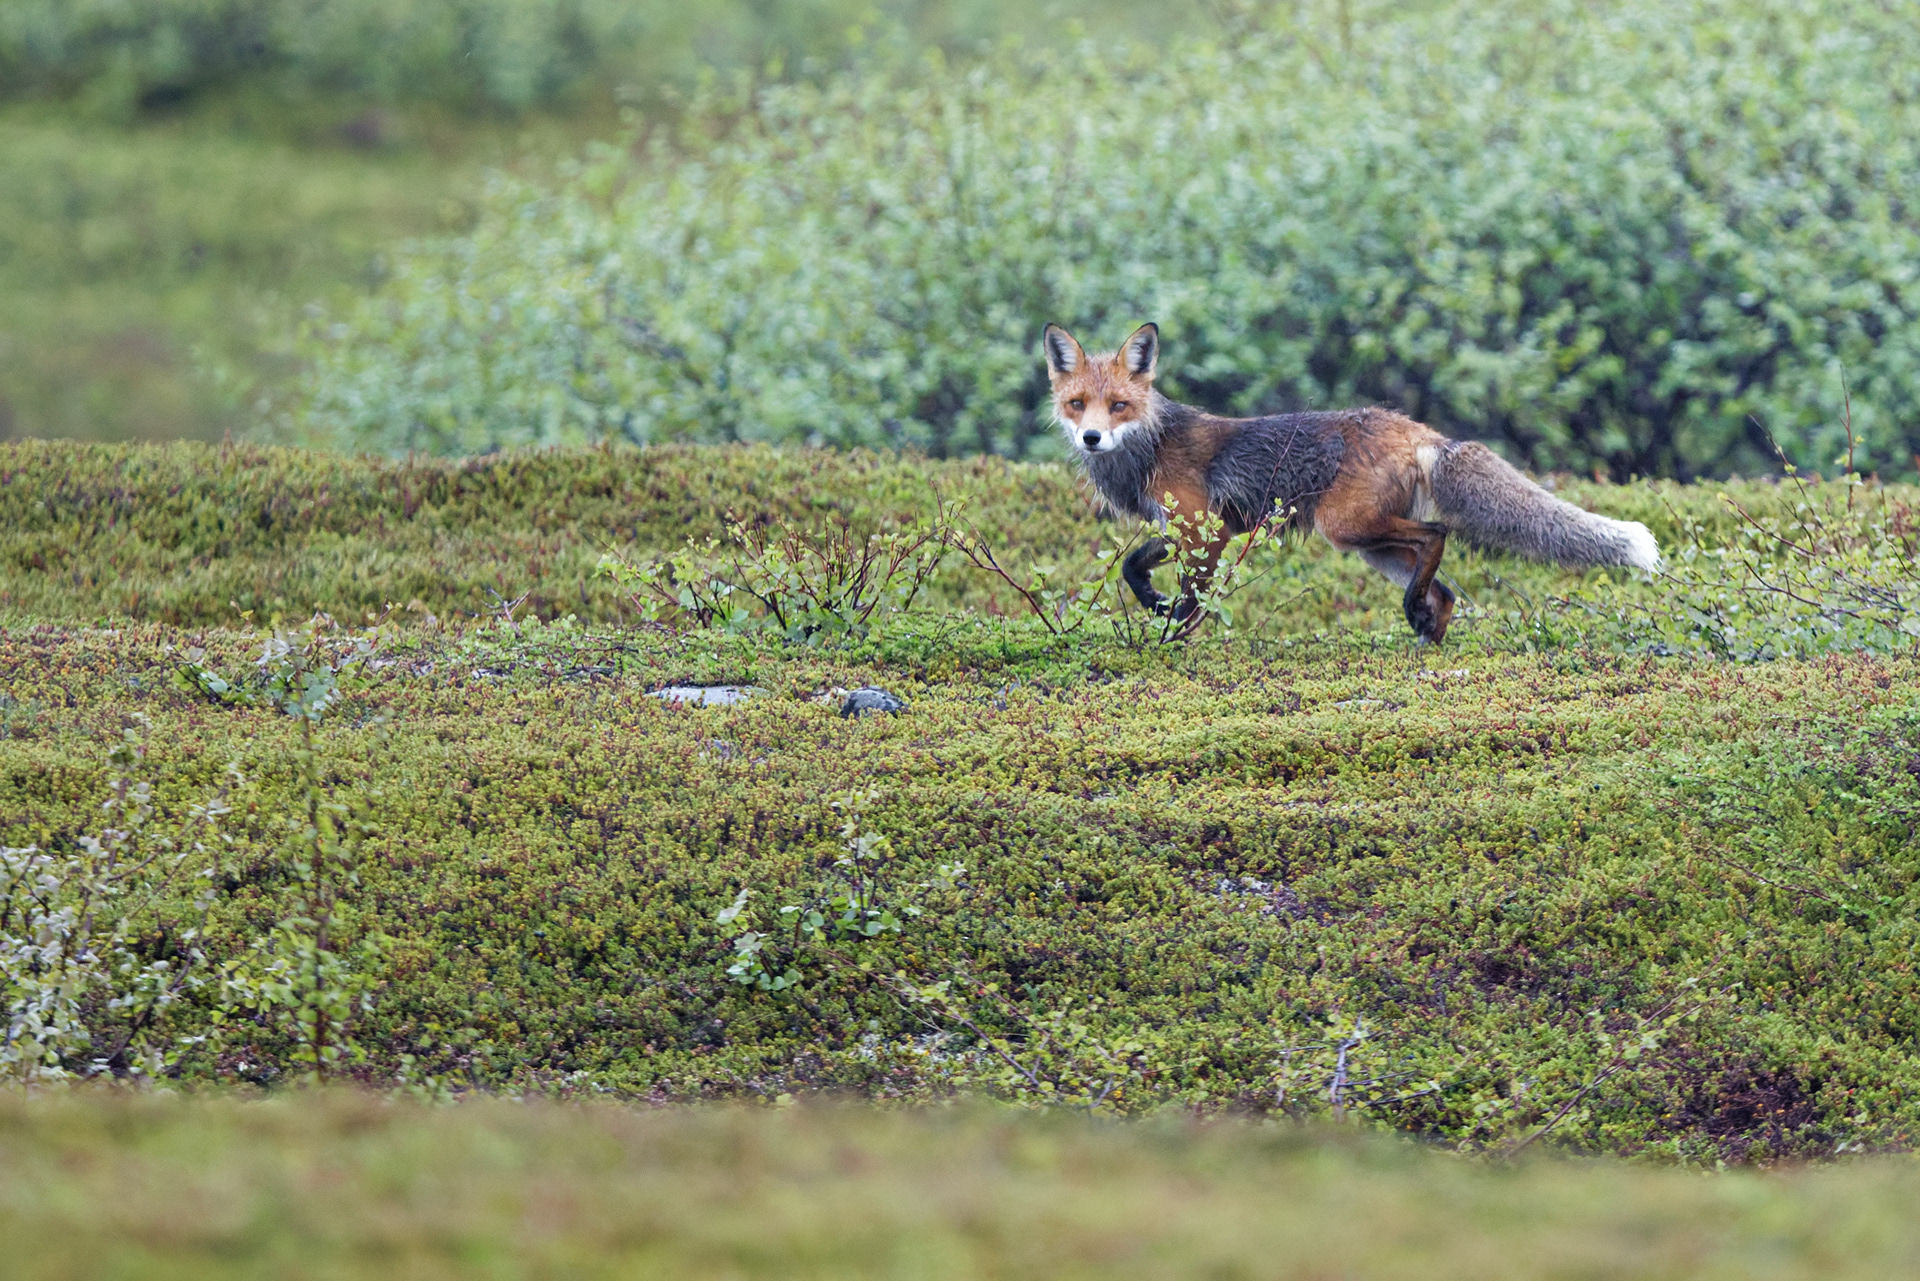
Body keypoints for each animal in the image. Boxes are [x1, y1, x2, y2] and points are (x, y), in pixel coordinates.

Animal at [1041, 322, 1660, 643]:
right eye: (1077, 405)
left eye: (1118, 406)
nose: (1091, 438)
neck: (1151, 445)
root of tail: (1416, 428)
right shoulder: (1183, 528)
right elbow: (1133, 564)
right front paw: (1152, 600)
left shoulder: (1208, 529)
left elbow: (1192, 599)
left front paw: (1170, 638)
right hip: (1370, 546)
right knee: (1445, 590)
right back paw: (1426, 638)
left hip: (1346, 526)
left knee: (1437, 534)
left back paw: (1417, 617)